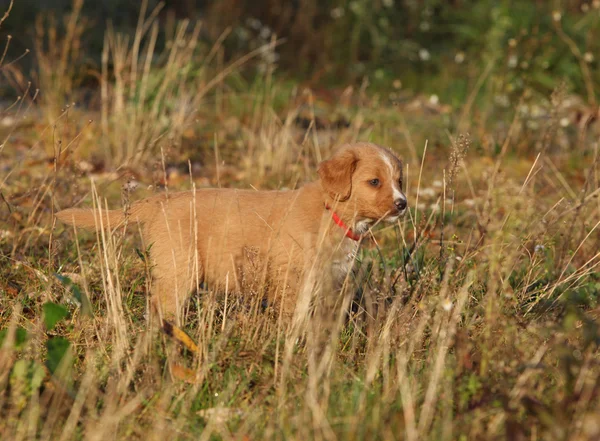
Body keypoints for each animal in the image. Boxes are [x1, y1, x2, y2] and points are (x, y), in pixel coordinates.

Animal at [56, 142, 408, 324]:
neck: (329, 210)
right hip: (178, 268)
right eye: (374, 182)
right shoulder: (290, 279)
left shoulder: (327, 282)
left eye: (399, 180)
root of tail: (162, 200)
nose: (402, 204)